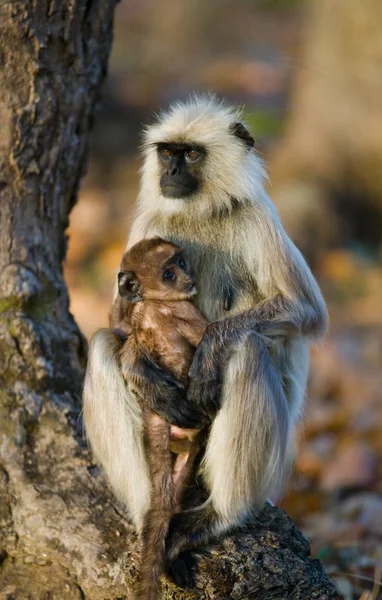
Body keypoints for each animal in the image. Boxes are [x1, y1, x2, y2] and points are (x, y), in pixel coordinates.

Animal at [115, 238, 207, 600]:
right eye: (169, 273)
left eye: (181, 262)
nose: (188, 277)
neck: (156, 307)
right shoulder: (146, 318)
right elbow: (130, 358)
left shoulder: (183, 311)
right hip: (156, 428)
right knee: (164, 498)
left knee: (174, 490)